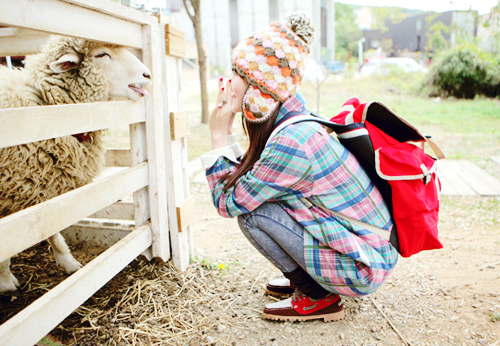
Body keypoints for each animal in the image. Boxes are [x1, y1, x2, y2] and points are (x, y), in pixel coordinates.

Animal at [0, 35, 152, 294]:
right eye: (102, 55)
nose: (147, 74)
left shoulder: (43, 188)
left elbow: (52, 227)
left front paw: (68, 262)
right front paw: (5, 281)